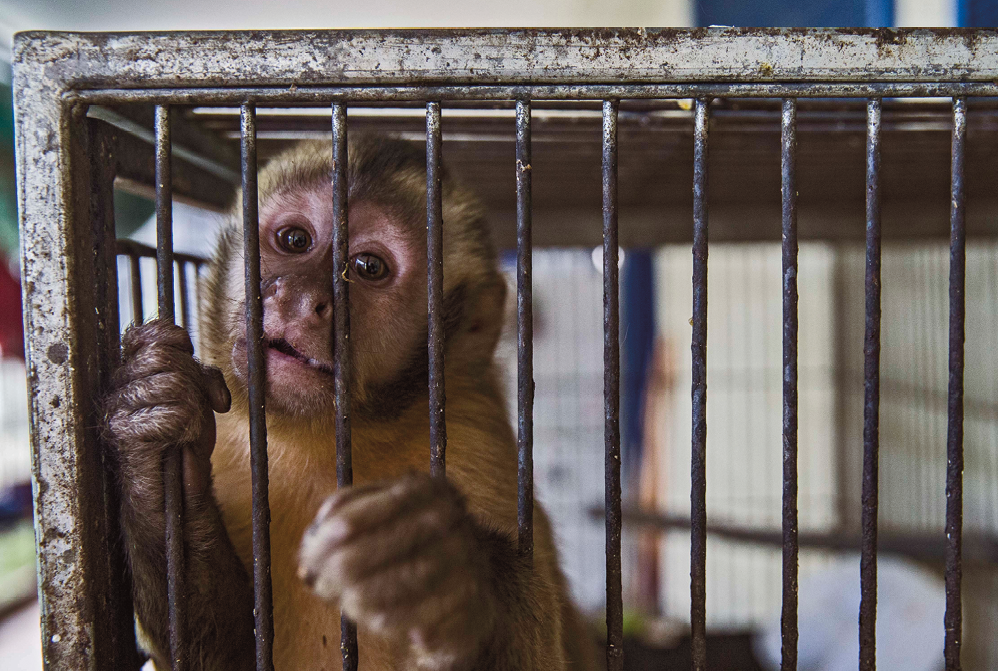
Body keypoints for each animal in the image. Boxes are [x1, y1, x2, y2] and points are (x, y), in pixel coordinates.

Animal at [104, 136, 596, 671]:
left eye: (368, 268)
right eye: (295, 240)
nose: (301, 298)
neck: (326, 436)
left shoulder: (477, 439)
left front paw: (445, 576)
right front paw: (152, 428)